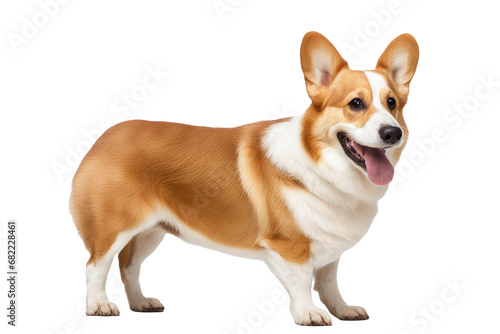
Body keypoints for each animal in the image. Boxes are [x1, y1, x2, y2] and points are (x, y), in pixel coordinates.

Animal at [70, 32, 418, 326]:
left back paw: (141, 303)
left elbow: (329, 282)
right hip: (113, 227)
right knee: (96, 265)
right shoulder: (289, 246)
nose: (392, 133)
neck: (322, 165)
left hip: (151, 231)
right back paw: (98, 306)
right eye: (356, 104)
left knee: (129, 266)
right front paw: (308, 314)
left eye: (392, 104)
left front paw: (342, 309)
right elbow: (303, 281)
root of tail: (106, 135)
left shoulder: (328, 243)